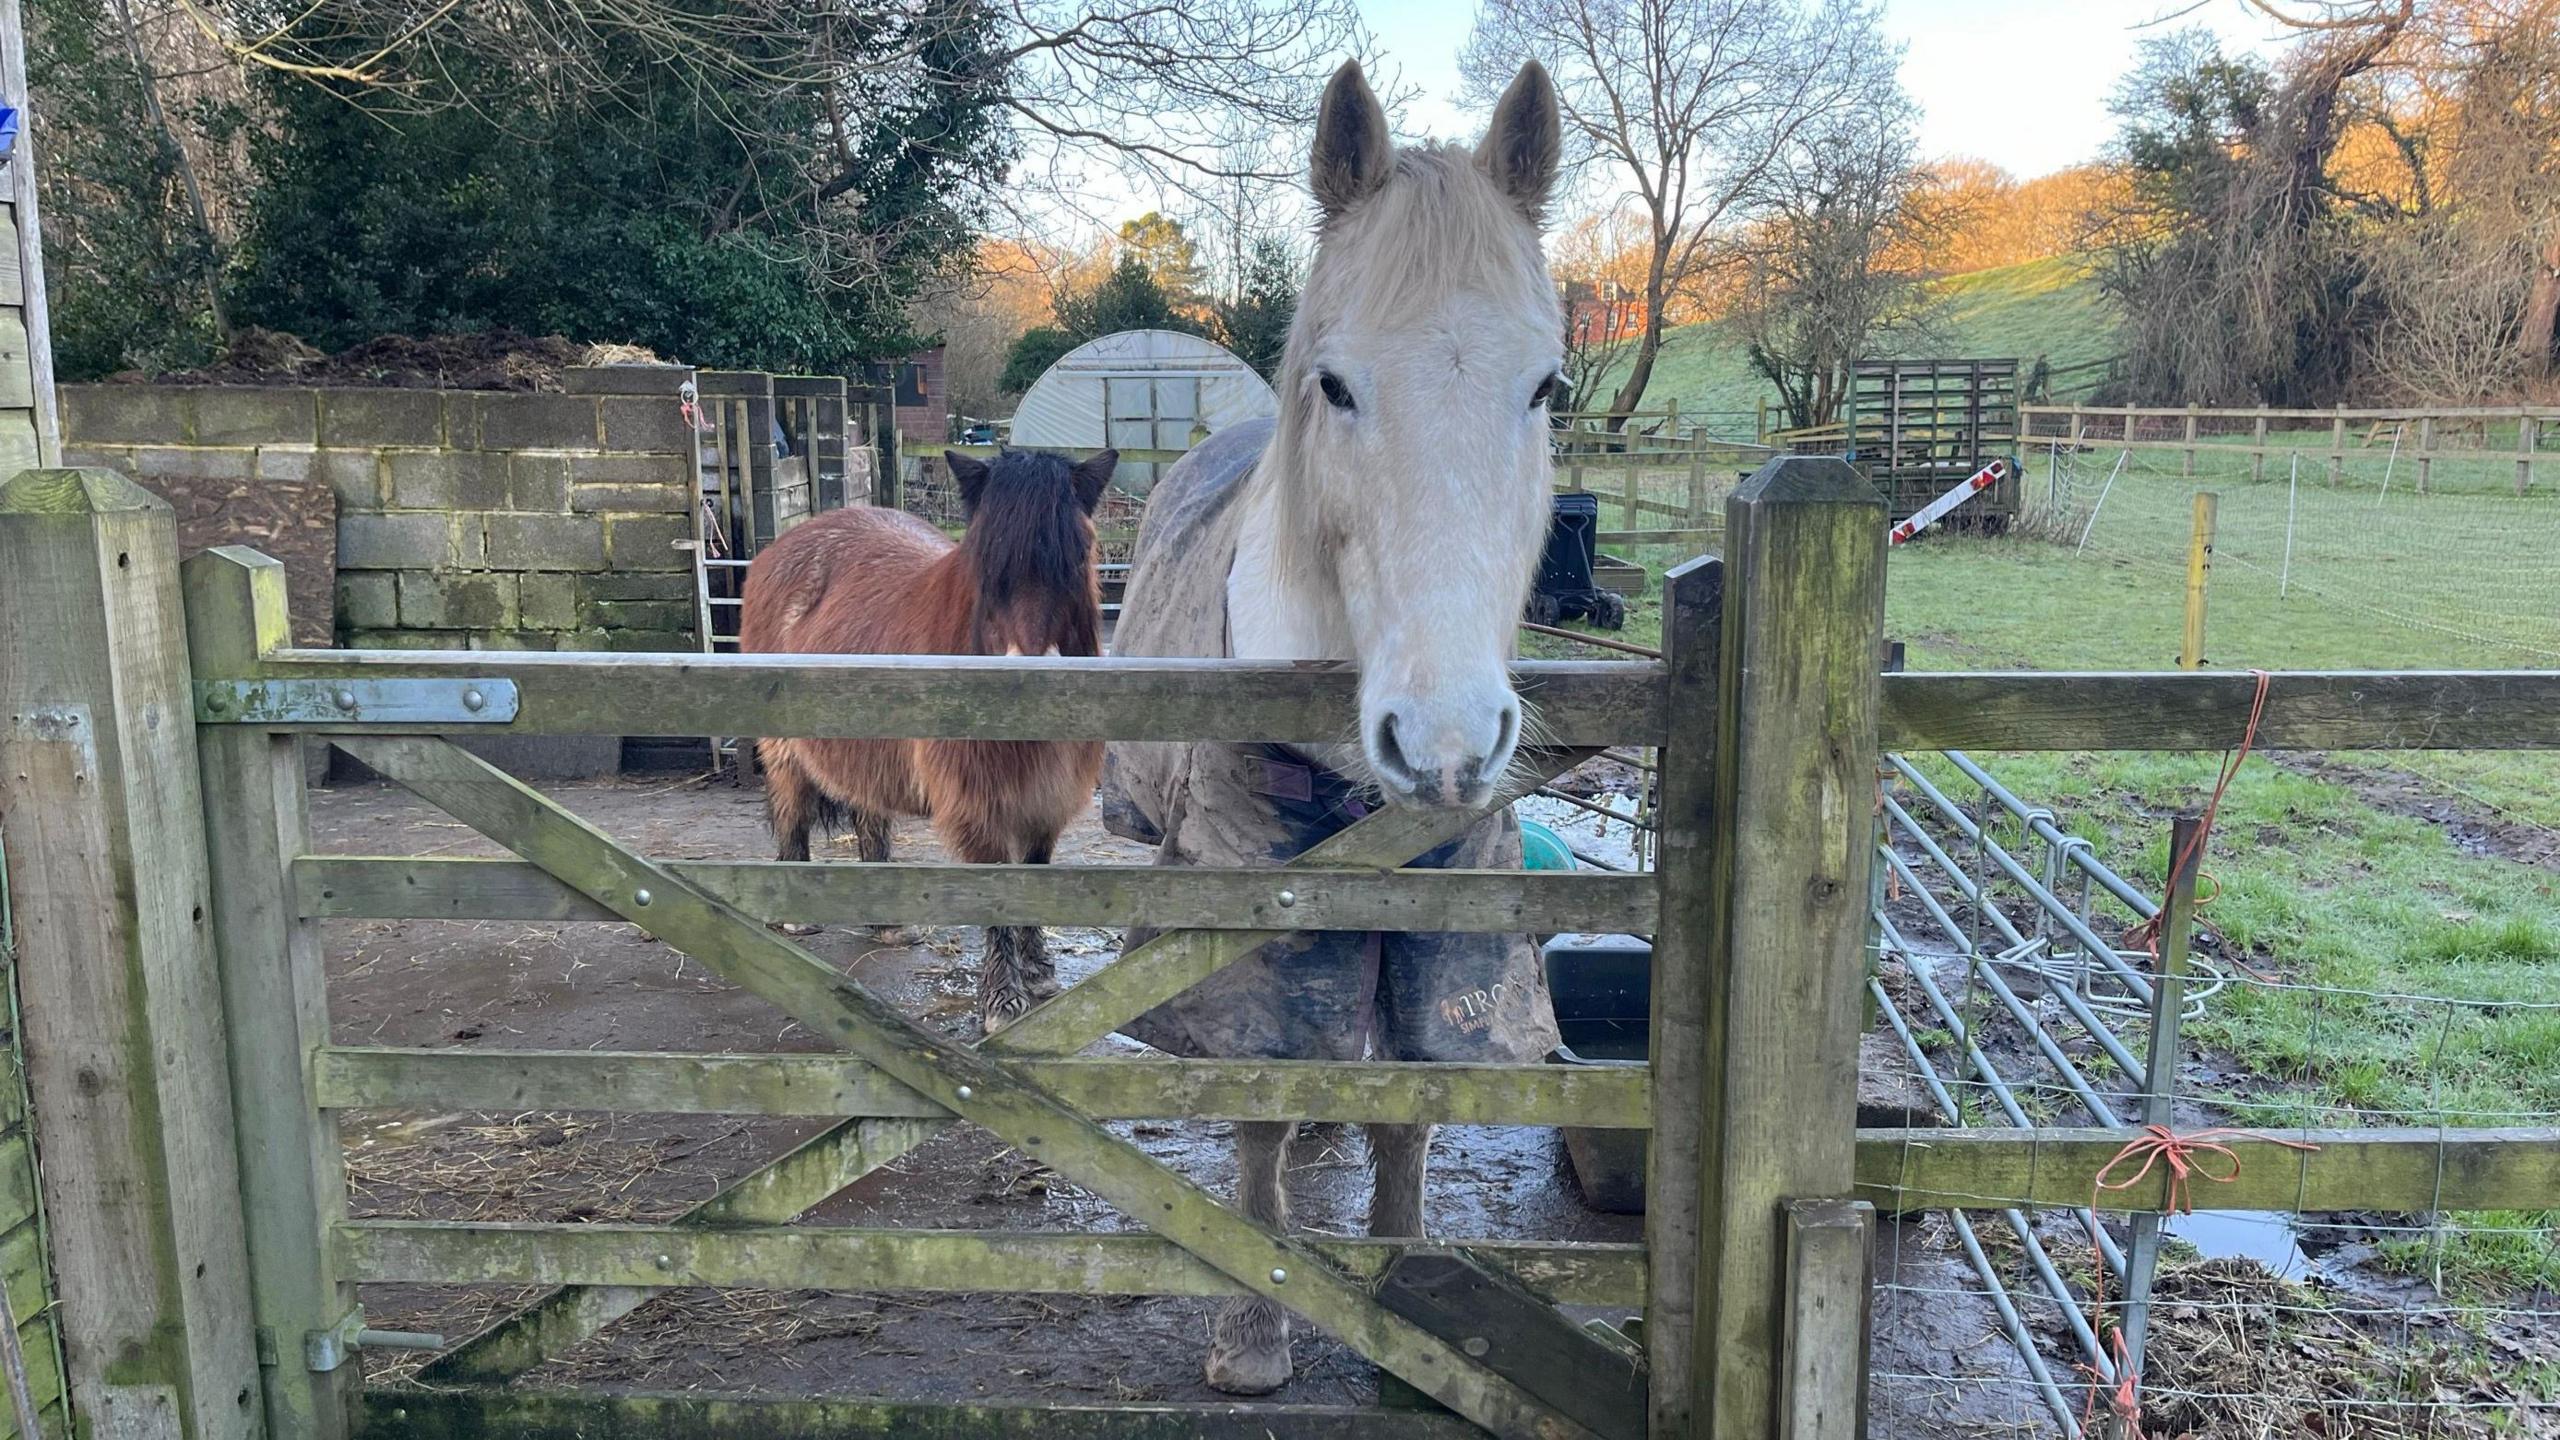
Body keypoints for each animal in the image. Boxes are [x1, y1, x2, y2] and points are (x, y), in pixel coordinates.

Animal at [732, 443, 1111, 1024]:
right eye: (984, 559)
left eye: (1079, 553)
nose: (1031, 674)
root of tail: (782, 548)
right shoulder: (980, 806)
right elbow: (999, 891)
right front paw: (1004, 997)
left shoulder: (1046, 800)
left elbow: (1034, 874)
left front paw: (1040, 971)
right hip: (786, 749)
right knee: (792, 809)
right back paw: (796, 913)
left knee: (868, 815)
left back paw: (887, 921)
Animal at [1095, 58, 1556, 1393]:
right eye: (1336, 384)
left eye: (1546, 388)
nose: (1447, 744)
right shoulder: (1249, 922)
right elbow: (1257, 1097)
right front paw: (1256, 1328)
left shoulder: (1444, 932)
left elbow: (1411, 1110)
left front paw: (1413, 1303)